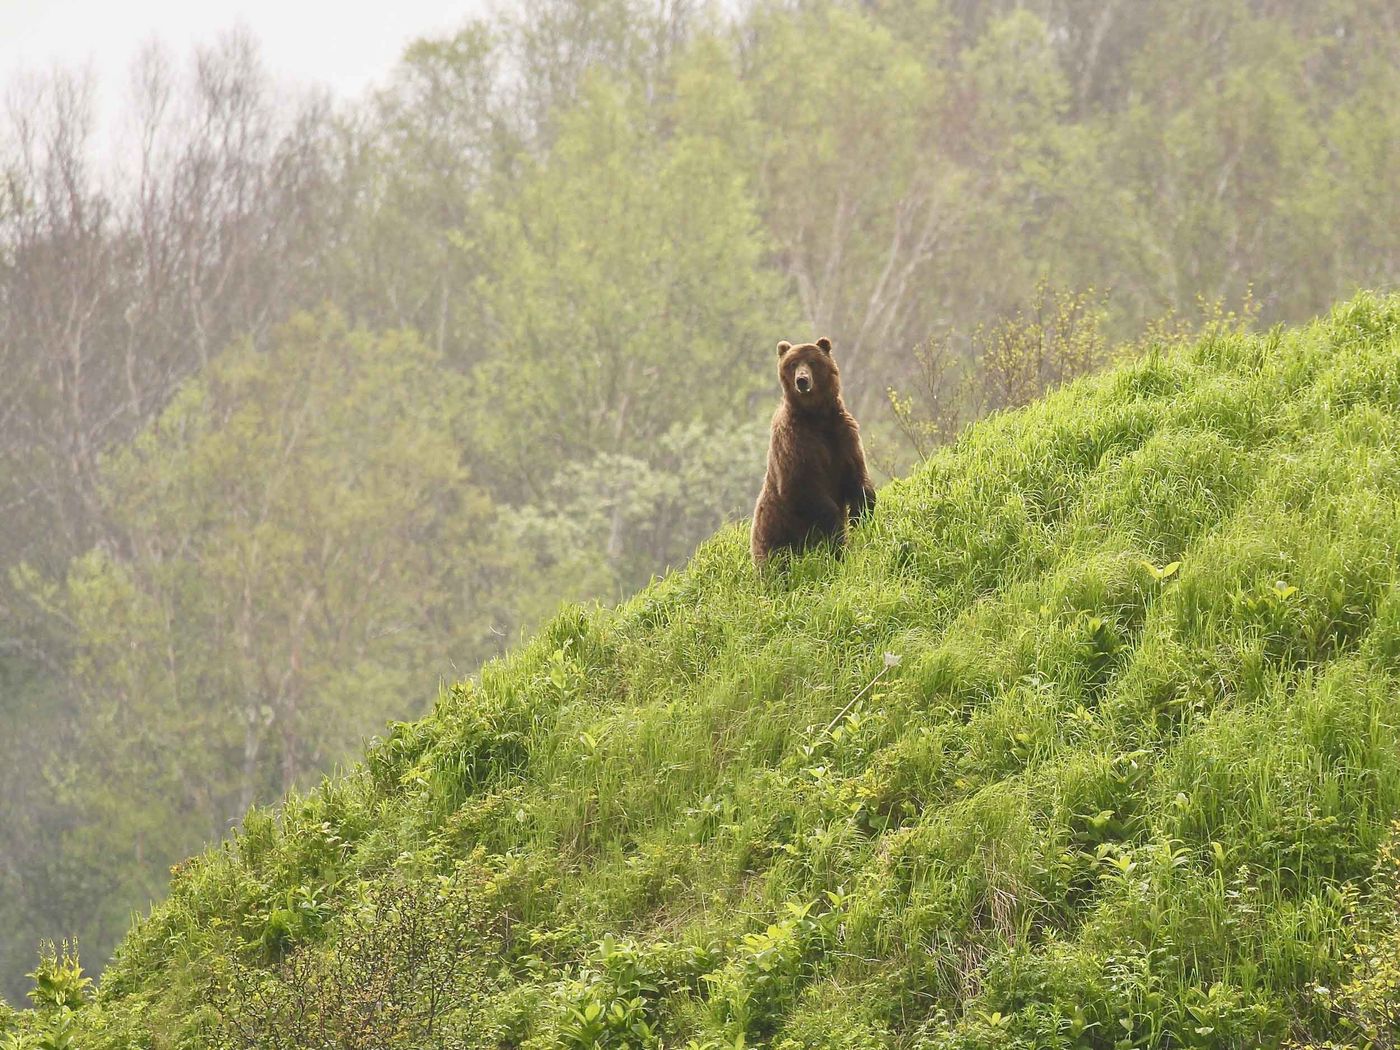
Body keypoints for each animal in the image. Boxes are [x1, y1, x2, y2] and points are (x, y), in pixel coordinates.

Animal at [750, 337, 868, 568]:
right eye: (793, 363)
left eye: (812, 361)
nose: (802, 380)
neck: (817, 417)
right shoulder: (796, 444)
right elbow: (802, 486)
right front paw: (837, 529)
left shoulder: (843, 436)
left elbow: (856, 476)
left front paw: (862, 514)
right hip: (775, 537)